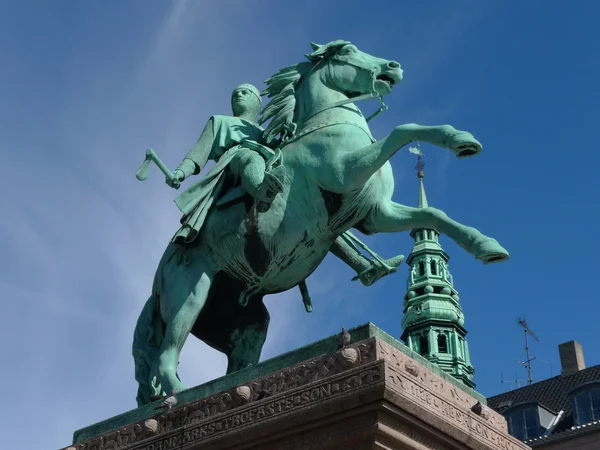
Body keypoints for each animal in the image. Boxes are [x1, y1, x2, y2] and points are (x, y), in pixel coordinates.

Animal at [132, 39, 506, 404]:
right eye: (347, 50)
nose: (393, 66)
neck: (328, 125)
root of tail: (156, 283)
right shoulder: (347, 172)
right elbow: (403, 129)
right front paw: (459, 139)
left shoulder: (376, 213)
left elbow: (434, 215)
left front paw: (486, 245)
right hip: (190, 294)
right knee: (165, 360)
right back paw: (180, 399)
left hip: (248, 325)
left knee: (233, 365)